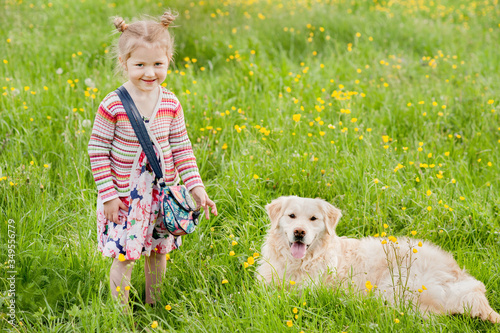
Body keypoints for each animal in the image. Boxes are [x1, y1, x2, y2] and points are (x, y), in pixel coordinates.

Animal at [258, 195, 500, 322]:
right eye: (291, 216)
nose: (299, 232)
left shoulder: (310, 290)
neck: (298, 262)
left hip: (396, 285)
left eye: (313, 219)